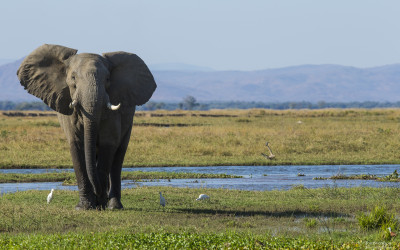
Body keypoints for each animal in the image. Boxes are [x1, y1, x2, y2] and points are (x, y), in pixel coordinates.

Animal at [17, 44, 158, 210]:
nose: (99, 196)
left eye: (108, 79)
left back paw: (114, 206)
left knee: (118, 157)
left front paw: (100, 204)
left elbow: (108, 144)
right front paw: (84, 206)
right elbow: (77, 145)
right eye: (73, 78)